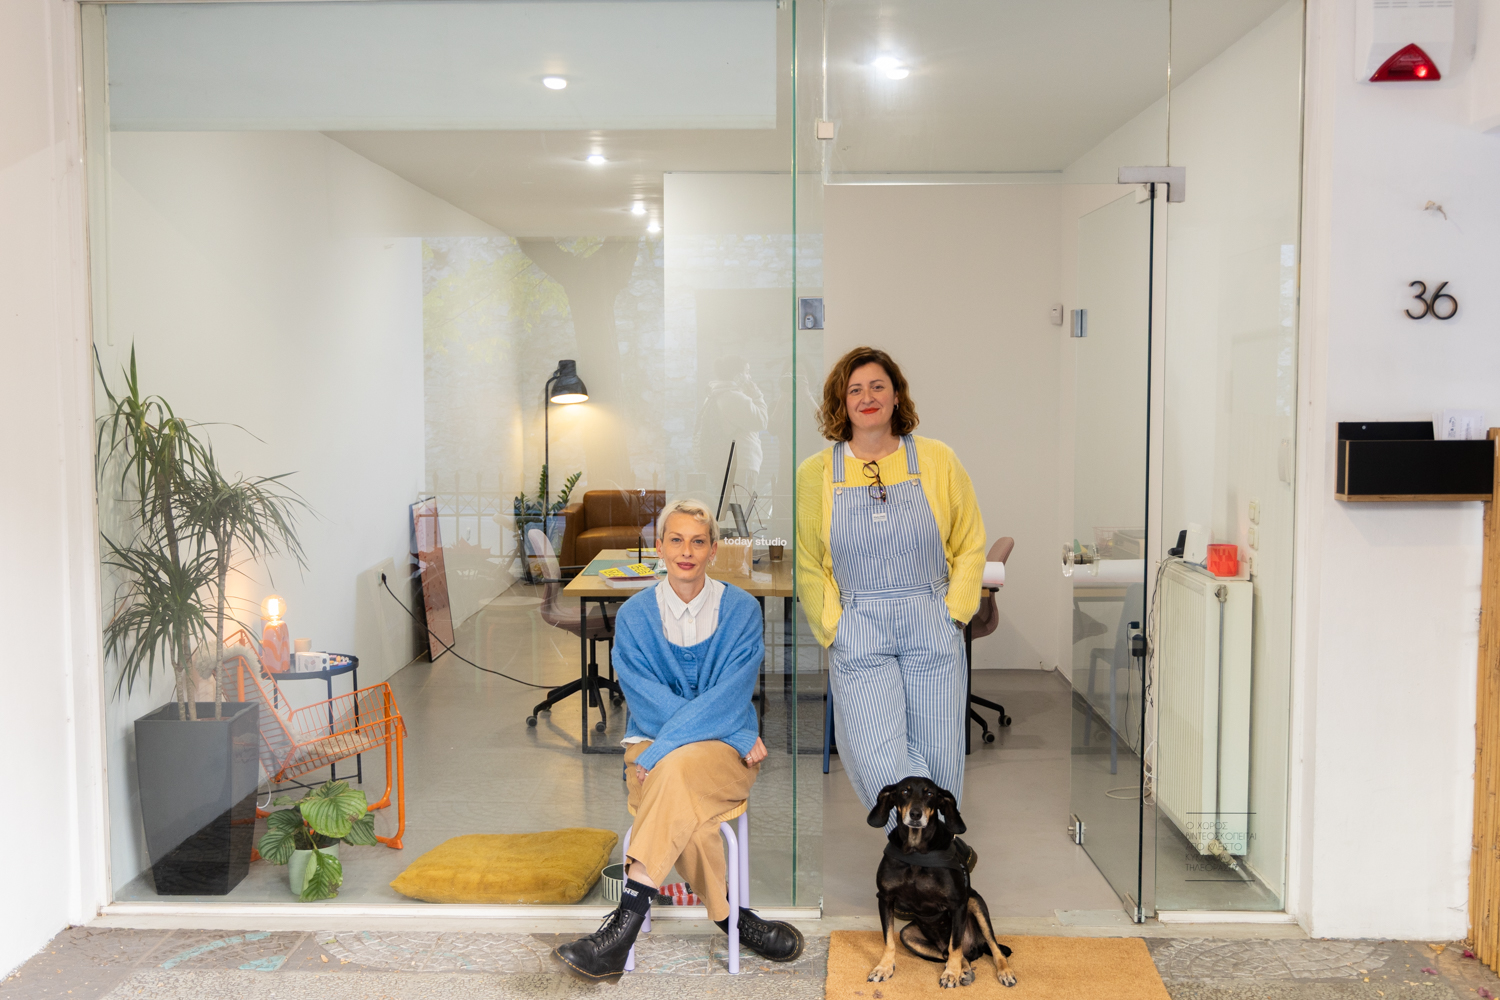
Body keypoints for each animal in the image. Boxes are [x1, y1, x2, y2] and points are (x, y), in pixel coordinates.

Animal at [866, 777, 1016, 989]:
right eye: (904, 791)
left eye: (930, 794)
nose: (915, 814)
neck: (916, 852)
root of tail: (976, 947)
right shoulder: (885, 898)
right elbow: (888, 940)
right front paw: (883, 968)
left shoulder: (958, 903)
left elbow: (955, 945)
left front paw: (951, 974)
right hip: (908, 935)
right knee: (952, 953)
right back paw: (965, 971)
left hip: (975, 903)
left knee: (991, 947)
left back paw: (1003, 972)